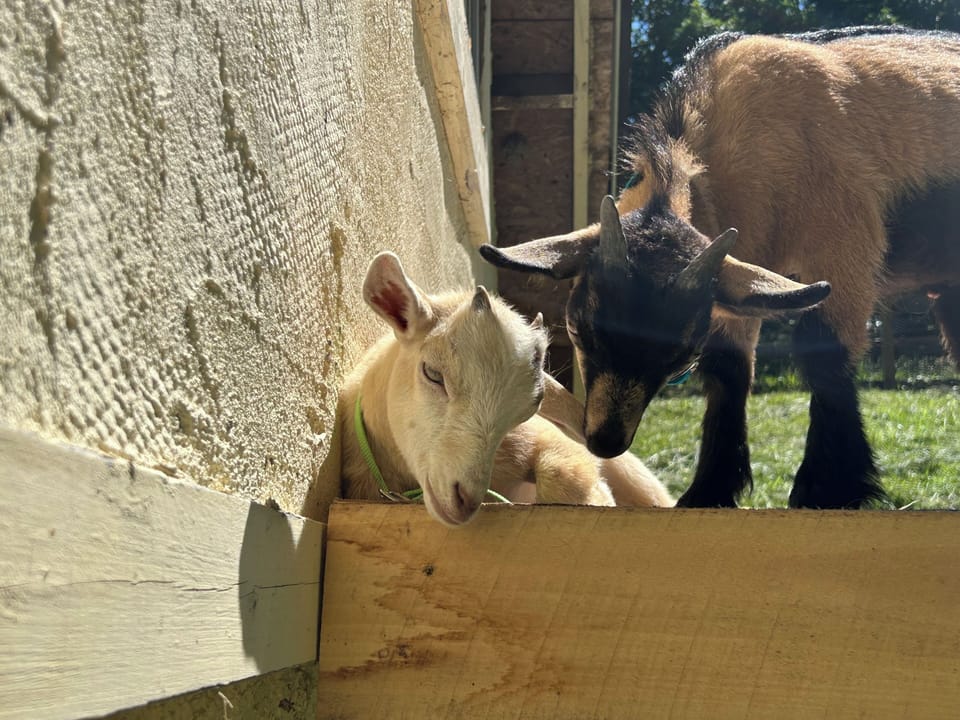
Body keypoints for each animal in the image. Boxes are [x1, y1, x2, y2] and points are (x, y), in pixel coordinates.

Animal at [480, 27, 960, 509]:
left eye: (679, 355)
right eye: (579, 330)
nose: (605, 442)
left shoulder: (845, 240)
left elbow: (822, 350)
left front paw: (826, 490)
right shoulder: (737, 283)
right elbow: (728, 371)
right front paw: (707, 491)